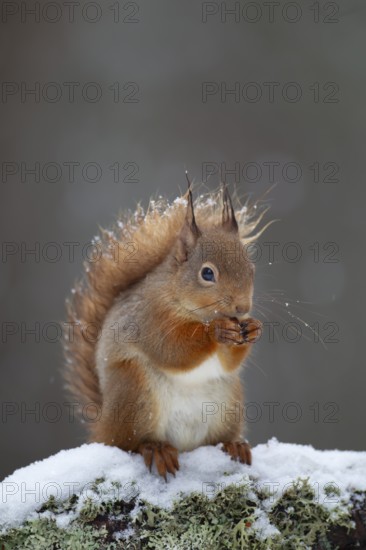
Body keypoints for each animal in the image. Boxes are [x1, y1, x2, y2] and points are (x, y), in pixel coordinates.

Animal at [64, 181, 266, 478]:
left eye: (251, 269)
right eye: (207, 273)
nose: (242, 307)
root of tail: (104, 425)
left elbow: (229, 362)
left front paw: (252, 329)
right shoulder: (150, 319)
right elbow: (172, 350)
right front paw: (216, 331)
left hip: (229, 402)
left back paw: (233, 445)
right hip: (135, 391)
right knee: (129, 443)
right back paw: (155, 448)